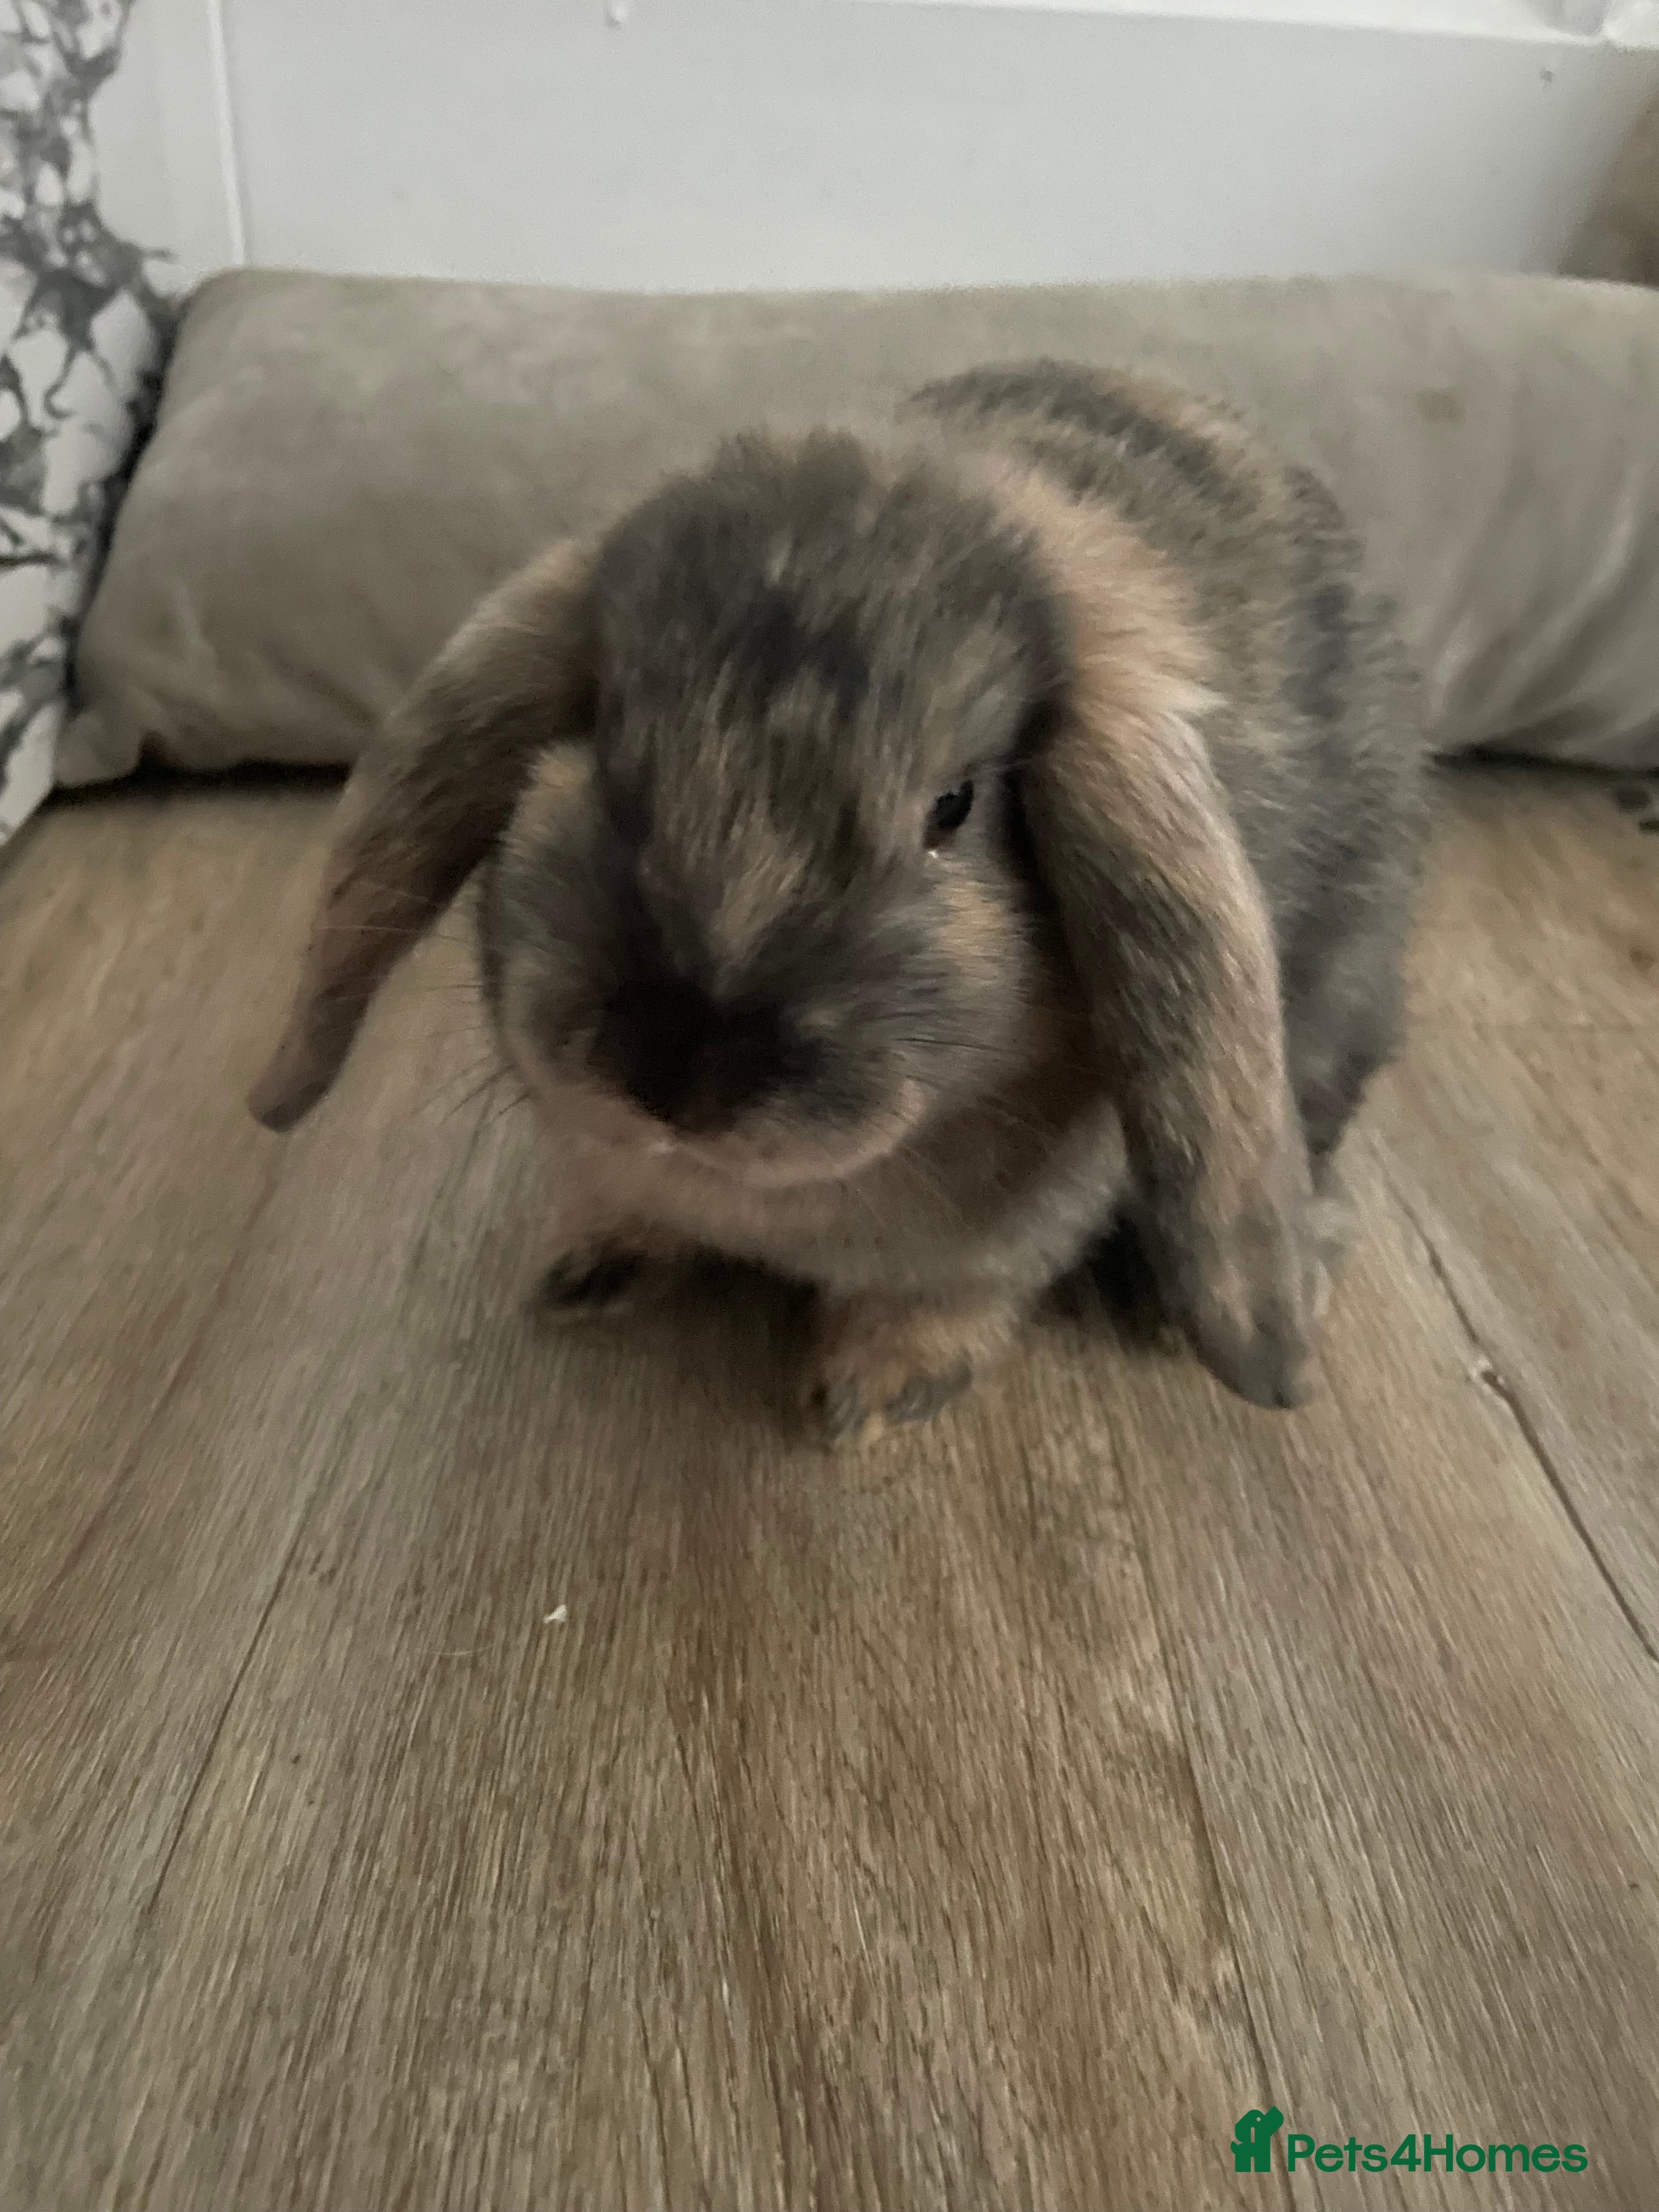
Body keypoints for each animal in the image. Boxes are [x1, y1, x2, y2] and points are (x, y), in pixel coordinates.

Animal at [248, 360, 1425, 1448]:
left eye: (953, 805)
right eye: (601, 737)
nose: (682, 1075)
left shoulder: (1010, 1232)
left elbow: (950, 1295)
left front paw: (868, 1396)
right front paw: (586, 1266)